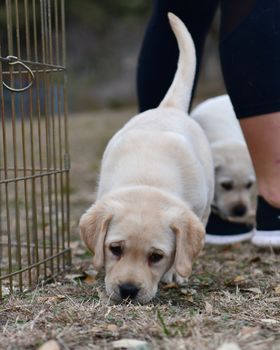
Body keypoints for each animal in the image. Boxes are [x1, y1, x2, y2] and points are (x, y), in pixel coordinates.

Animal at [79, 13, 214, 304]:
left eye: (156, 256)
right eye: (115, 249)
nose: (128, 290)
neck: (148, 180)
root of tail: (168, 107)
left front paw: (176, 272)